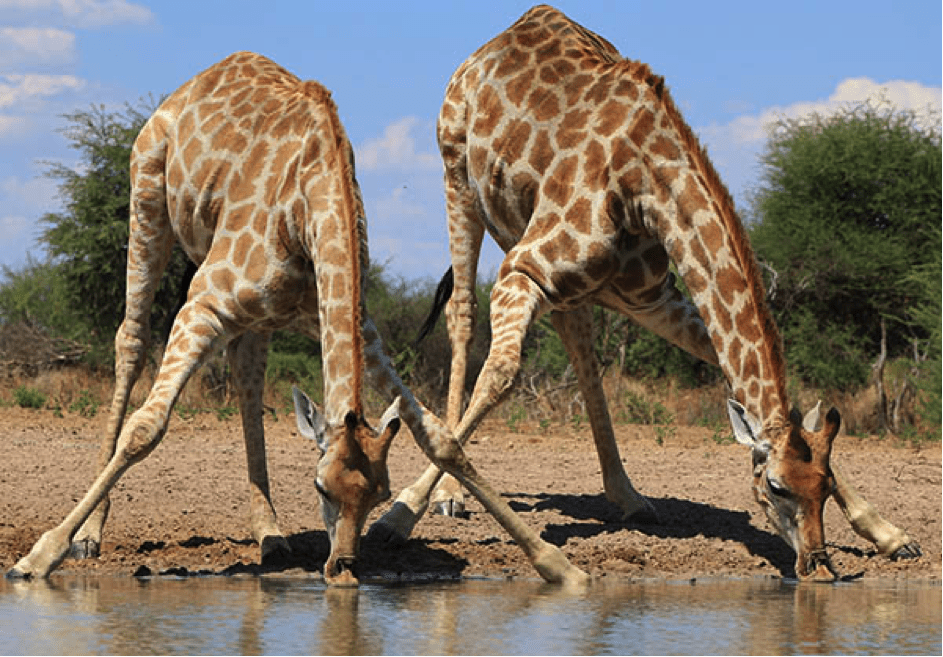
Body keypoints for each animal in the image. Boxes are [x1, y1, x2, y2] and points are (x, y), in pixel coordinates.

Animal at [6, 51, 462, 587]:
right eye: (319, 488)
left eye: (380, 493)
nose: (344, 569)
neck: (309, 204)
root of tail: (196, 81)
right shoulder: (203, 304)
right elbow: (145, 429)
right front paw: (39, 556)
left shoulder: (358, 328)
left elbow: (440, 438)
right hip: (146, 194)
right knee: (132, 341)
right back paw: (90, 534)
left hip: (257, 312)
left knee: (246, 375)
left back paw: (270, 534)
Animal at [370, 5, 922, 581]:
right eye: (775, 487)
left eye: (826, 484)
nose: (817, 564)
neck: (645, 183)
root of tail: (508, 31)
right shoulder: (521, 271)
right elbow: (498, 377)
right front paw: (399, 513)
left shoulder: (650, 297)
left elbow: (720, 362)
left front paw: (890, 533)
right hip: (456, 179)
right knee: (462, 315)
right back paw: (448, 497)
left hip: (566, 276)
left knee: (578, 344)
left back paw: (629, 495)